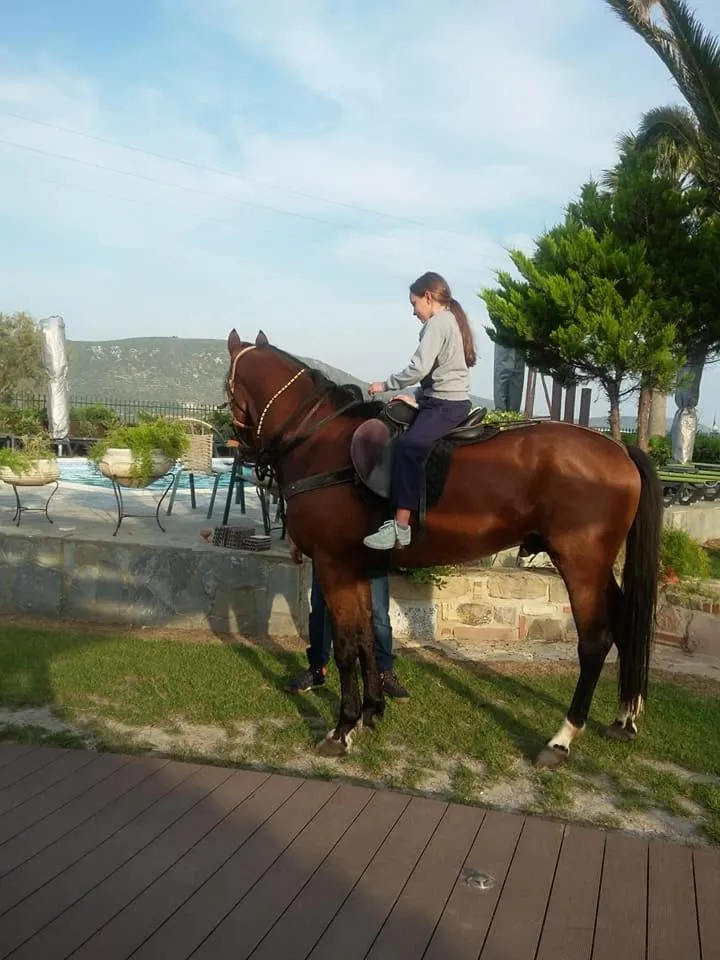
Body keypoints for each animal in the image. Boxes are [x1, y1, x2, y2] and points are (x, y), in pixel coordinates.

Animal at [225, 329, 663, 768]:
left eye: (229, 390)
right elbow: (367, 639)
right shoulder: (356, 569)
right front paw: (371, 712)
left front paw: (343, 727)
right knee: (624, 624)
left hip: (580, 564)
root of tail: (619, 448)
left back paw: (562, 738)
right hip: (598, 567)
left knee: (594, 642)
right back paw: (624, 719)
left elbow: (347, 647)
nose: (241, 450)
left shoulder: (334, 566)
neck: (321, 442)